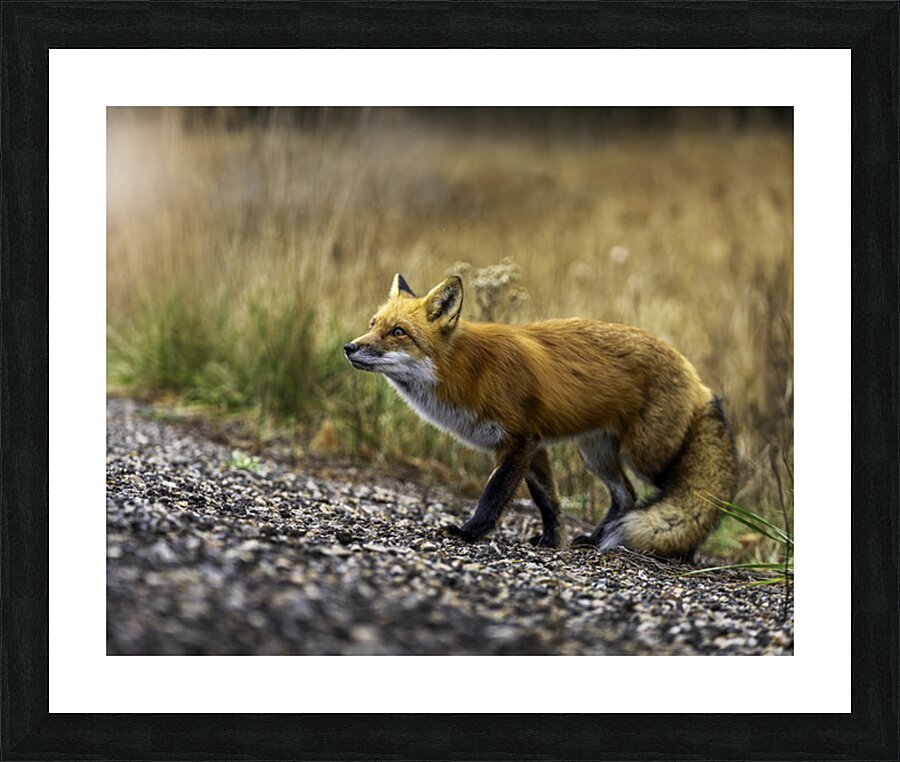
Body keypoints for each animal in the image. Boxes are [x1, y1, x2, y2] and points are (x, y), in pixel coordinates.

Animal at [344, 273, 737, 558]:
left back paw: (685, 552)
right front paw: (551, 541)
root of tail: (698, 381)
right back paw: (595, 539)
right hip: (594, 452)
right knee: (626, 495)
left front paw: (469, 532)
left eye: (398, 332)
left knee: (692, 494)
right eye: (373, 323)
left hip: (646, 454)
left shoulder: (519, 440)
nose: (349, 347)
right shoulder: (534, 446)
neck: (467, 372)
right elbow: (548, 501)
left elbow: (495, 494)